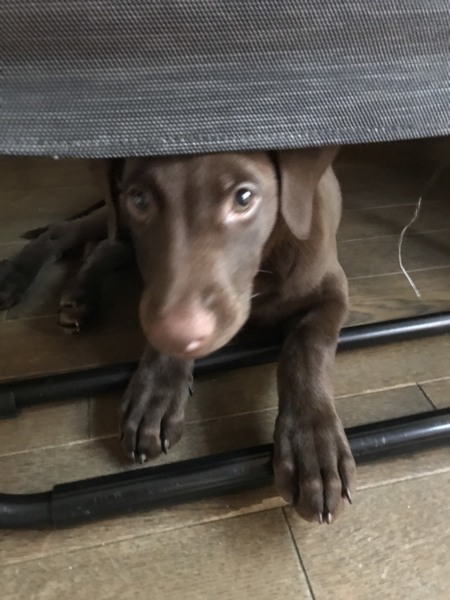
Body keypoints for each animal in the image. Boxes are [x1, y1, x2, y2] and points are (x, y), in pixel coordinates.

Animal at [0, 148, 355, 524]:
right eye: (140, 200)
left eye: (244, 198)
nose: (182, 333)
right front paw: (156, 391)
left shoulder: (331, 292)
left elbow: (306, 351)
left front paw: (313, 446)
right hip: (115, 215)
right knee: (69, 233)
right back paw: (17, 277)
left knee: (104, 247)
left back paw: (81, 296)